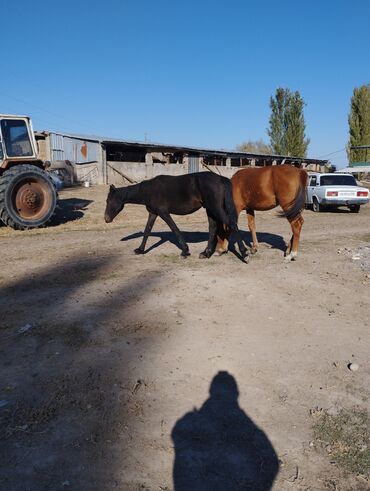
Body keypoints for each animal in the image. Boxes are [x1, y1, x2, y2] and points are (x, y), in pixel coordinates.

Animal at [105, 171, 249, 262]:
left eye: (109, 200)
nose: (106, 219)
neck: (148, 190)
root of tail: (221, 178)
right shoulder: (153, 213)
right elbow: (147, 231)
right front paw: (140, 250)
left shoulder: (163, 212)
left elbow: (174, 228)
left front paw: (184, 251)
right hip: (210, 209)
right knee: (213, 228)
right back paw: (206, 253)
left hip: (216, 209)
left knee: (232, 224)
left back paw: (244, 254)